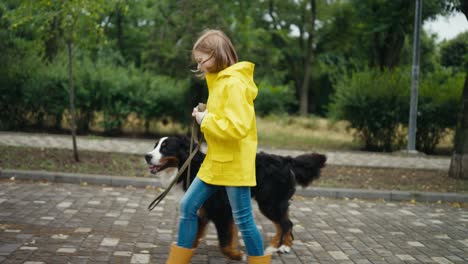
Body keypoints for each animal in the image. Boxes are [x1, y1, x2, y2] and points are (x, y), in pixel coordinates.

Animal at [145, 136, 326, 260]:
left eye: (165, 148)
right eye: (155, 146)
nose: (147, 156)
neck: (192, 167)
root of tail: (286, 159)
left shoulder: (220, 210)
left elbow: (224, 242)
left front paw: (237, 256)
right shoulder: (203, 210)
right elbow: (197, 235)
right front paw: (185, 251)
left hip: (269, 203)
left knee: (286, 223)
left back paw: (278, 247)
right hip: (272, 203)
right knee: (284, 224)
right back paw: (280, 245)